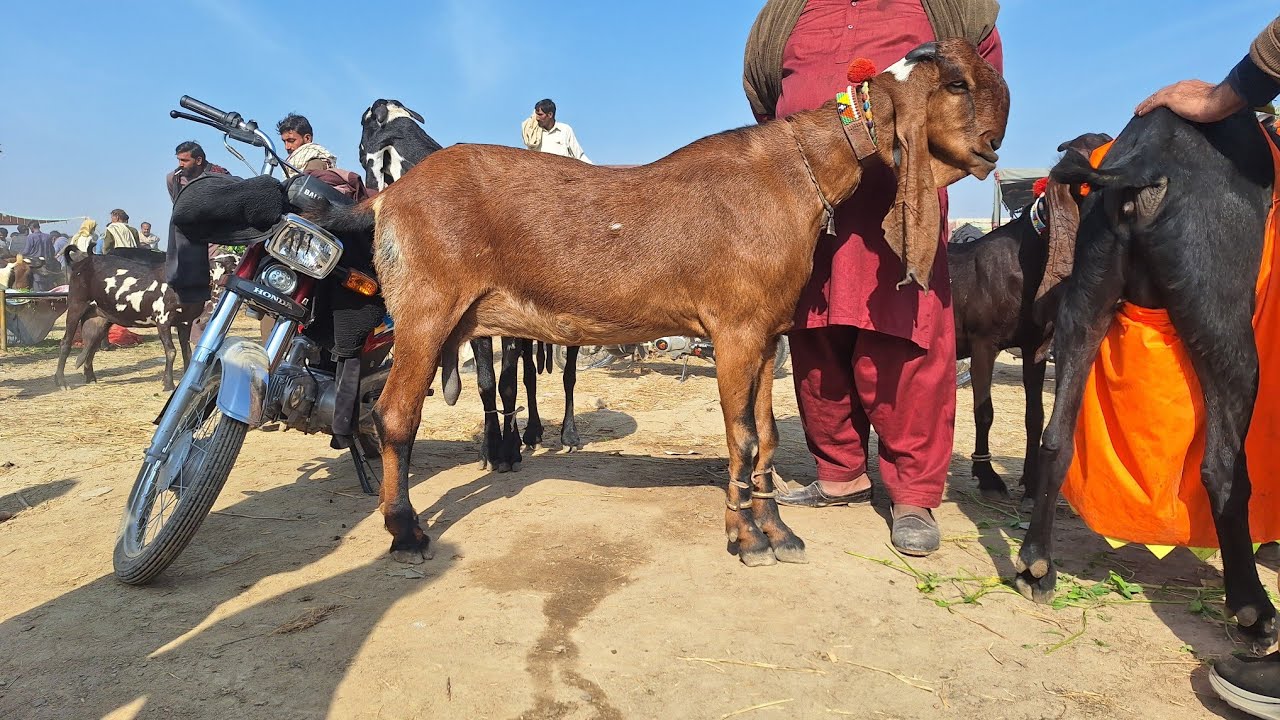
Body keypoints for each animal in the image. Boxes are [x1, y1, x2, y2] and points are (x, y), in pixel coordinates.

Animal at [54, 247, 236, 391]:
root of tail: (79, 264)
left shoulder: (185, 323)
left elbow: (188, 354)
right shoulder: (163, 320)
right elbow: (171, 351)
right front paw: (168, 384)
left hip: (101, 317)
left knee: (92, 343)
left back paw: (89, 377)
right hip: (76, 305)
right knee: (66, 343)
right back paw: (61, 382)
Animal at [359, 98, 581, 472]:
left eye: (362, 145)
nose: (367, 189)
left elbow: (507, 384)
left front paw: (509, 451)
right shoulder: (475, 322)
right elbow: (487, 384)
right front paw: (492, 449)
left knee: (567, 376)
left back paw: (568, 434)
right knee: (531, 377)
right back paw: (533, 431)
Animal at [951, 133, 1112, 503]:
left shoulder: (1035, 346)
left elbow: (1034, 414)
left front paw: (1032, 481)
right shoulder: (983, 343)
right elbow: (984, 411)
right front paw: (988, 476)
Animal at [1017, 108, 1279, 651]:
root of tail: (1146, 161)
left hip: (1086, 303)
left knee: (1056, 439)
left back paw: (1036, 564)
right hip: (1225, 329)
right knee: (1222, 470)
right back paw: (1253, 609)